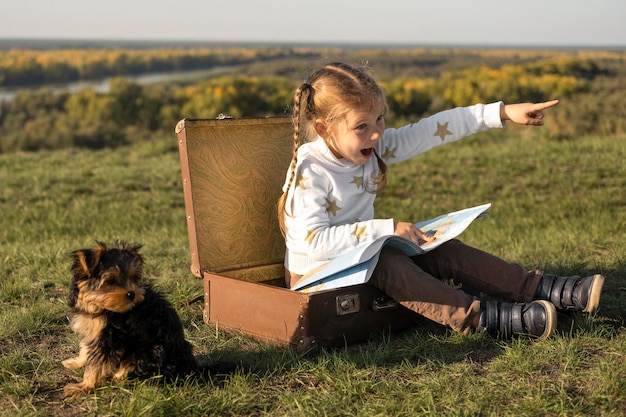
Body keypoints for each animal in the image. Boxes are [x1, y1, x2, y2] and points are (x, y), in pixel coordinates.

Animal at [61, 240, 197, 396]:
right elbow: (86, 349)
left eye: (133, 278)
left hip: (149, 353)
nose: (132, 293)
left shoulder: (110, 338)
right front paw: (76, 362)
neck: (100, 307)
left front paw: (84, 386)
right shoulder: (91, 331)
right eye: (111, 281)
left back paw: (115, 379)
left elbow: (96, 364)